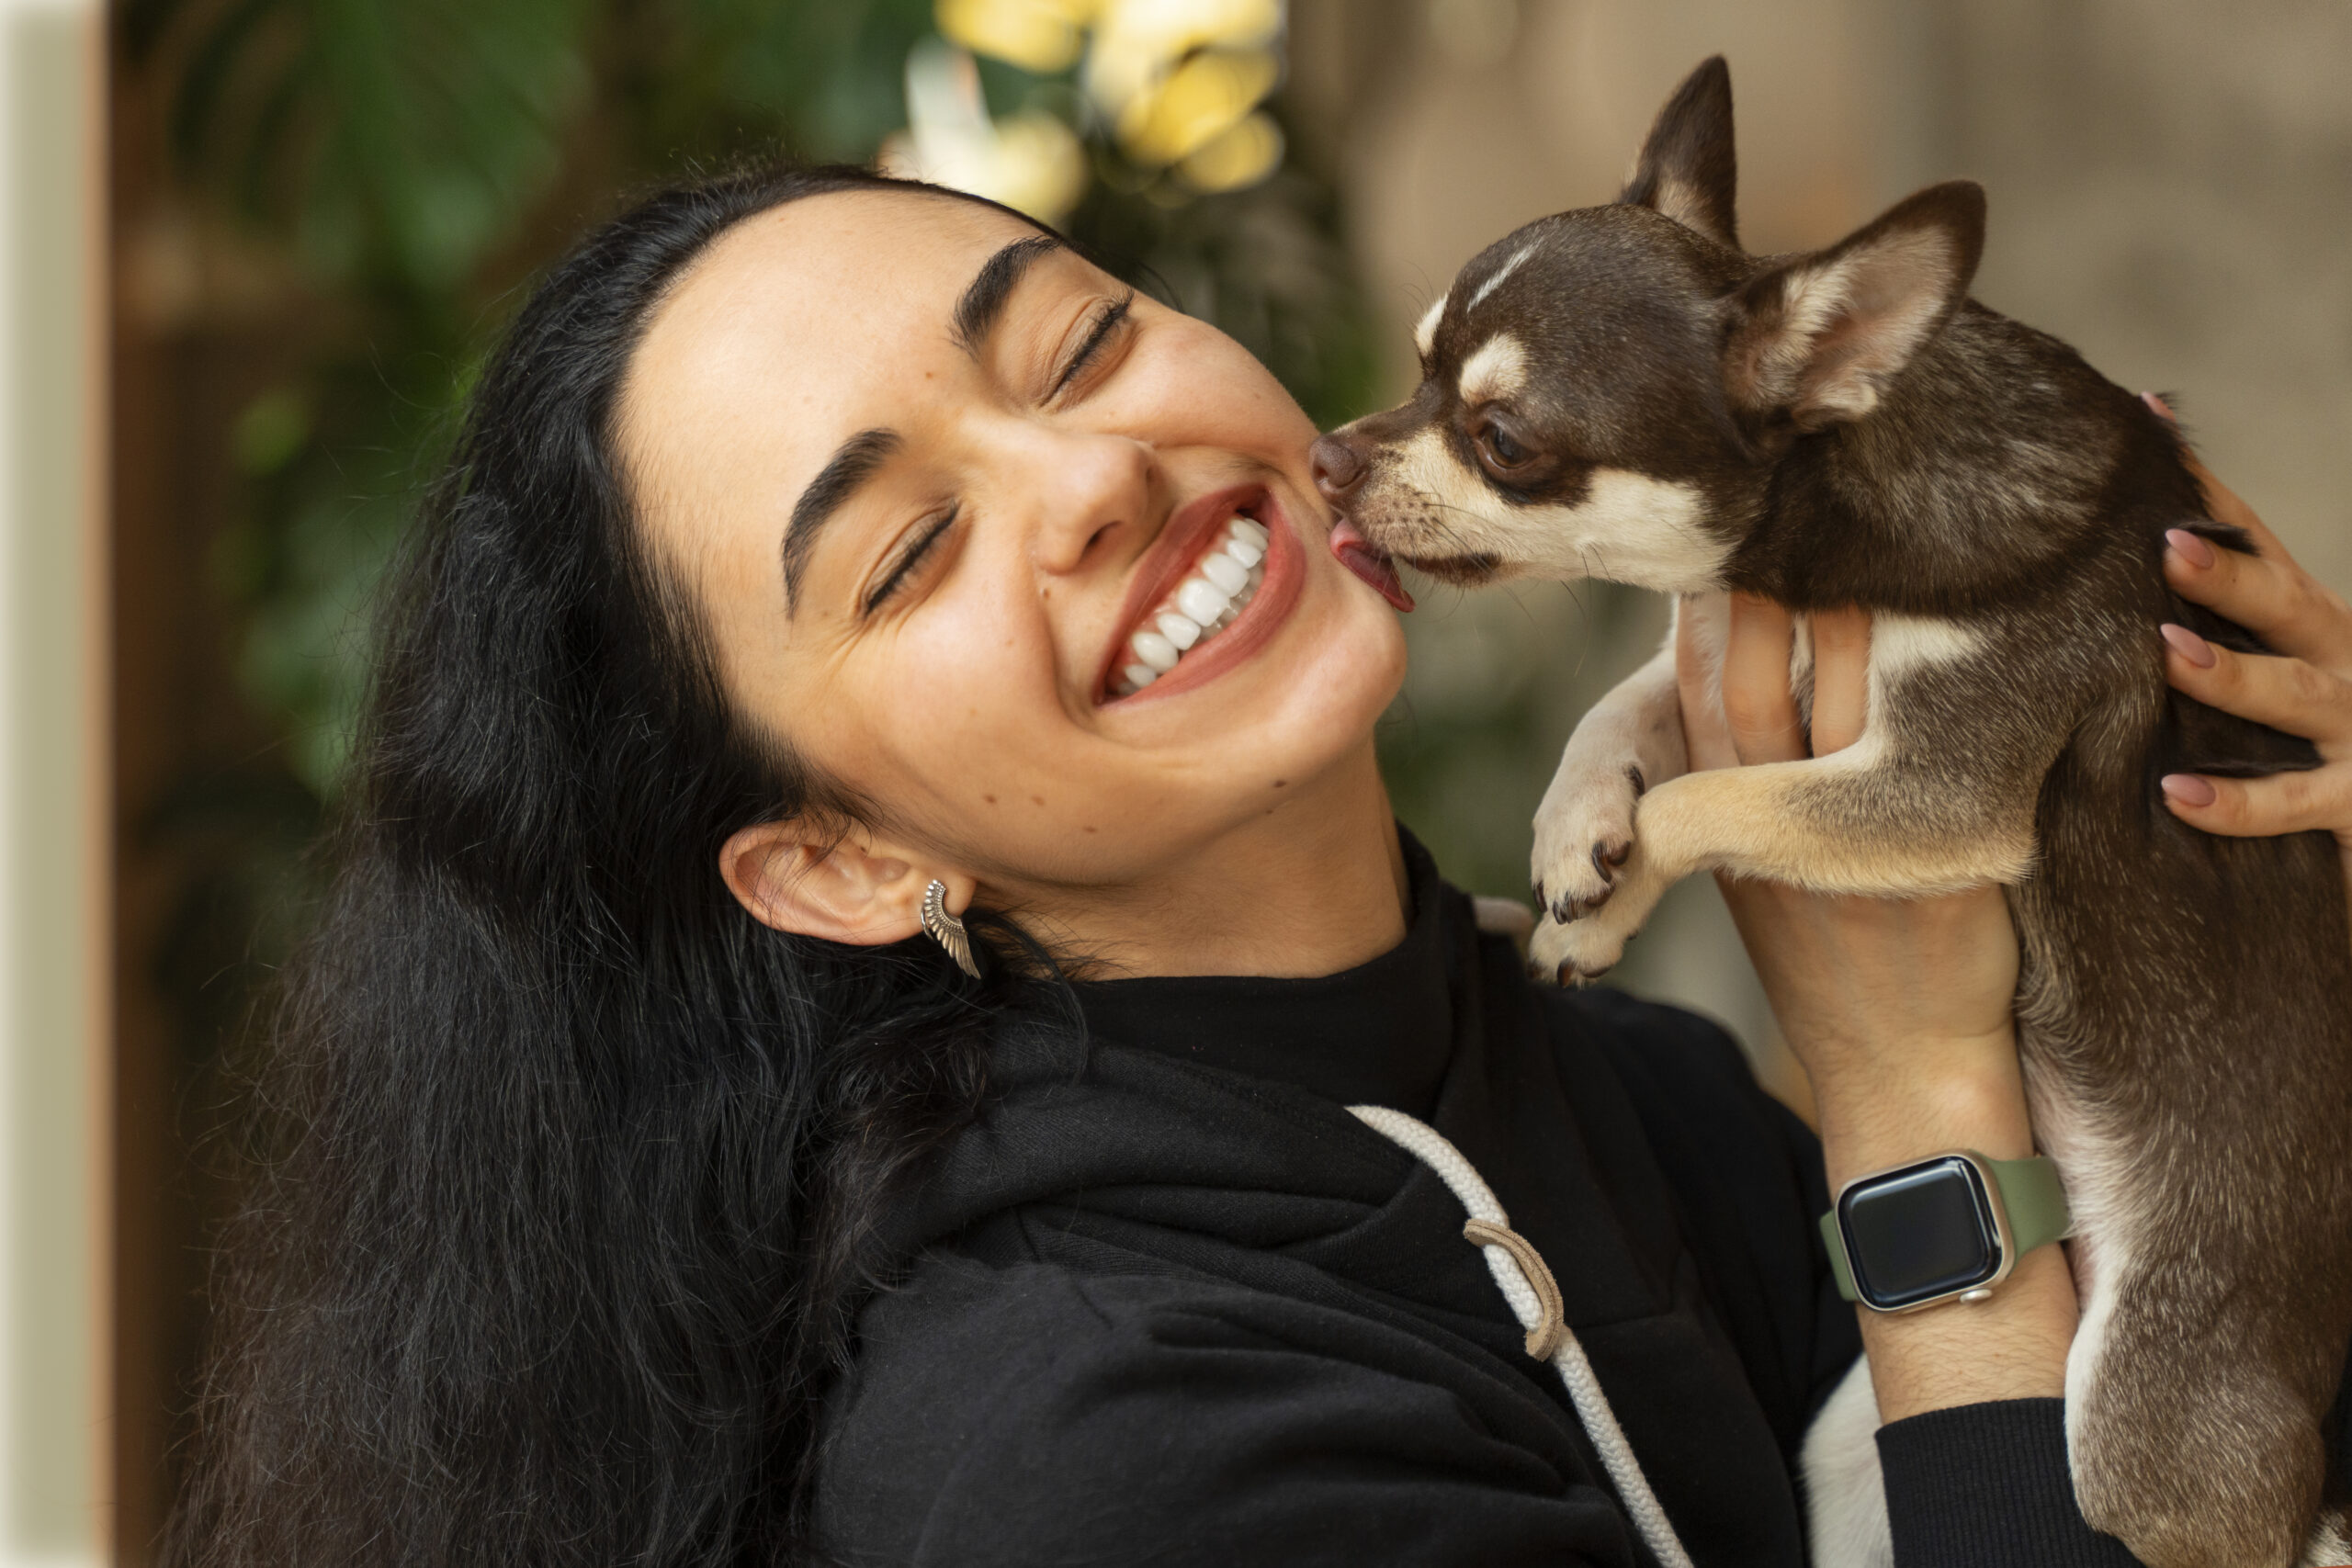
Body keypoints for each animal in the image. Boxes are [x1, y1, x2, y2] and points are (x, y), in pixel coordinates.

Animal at [1326, 55, 2352, 1568]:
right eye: (1411, 372)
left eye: (1503, 440)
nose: (1326, 456)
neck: (1853, 485)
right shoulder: (1734, 647)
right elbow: (1631, 707)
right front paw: (1575, 841)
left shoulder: (1938, 788)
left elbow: (1703, 793)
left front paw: (1616, 881)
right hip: (1847, 1441)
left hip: (2141, 1428)